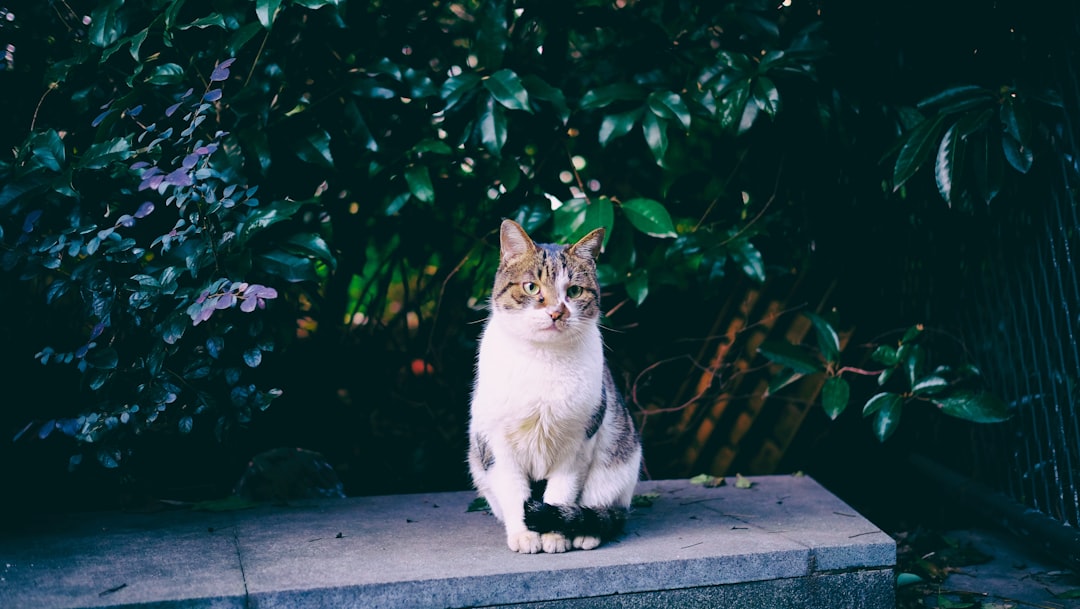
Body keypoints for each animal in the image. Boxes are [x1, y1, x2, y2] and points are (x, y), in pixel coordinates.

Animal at [466, 219, 639, 552]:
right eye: (531, 287)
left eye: (574, 291)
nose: (557, 312)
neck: (543, 358)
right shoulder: (497, 442)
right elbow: (514, 491)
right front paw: (525, 535)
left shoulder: (579, 441)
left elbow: (561, 492)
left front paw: (555, 535)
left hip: (618, 457)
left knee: (599, 505)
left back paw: (586, 532)